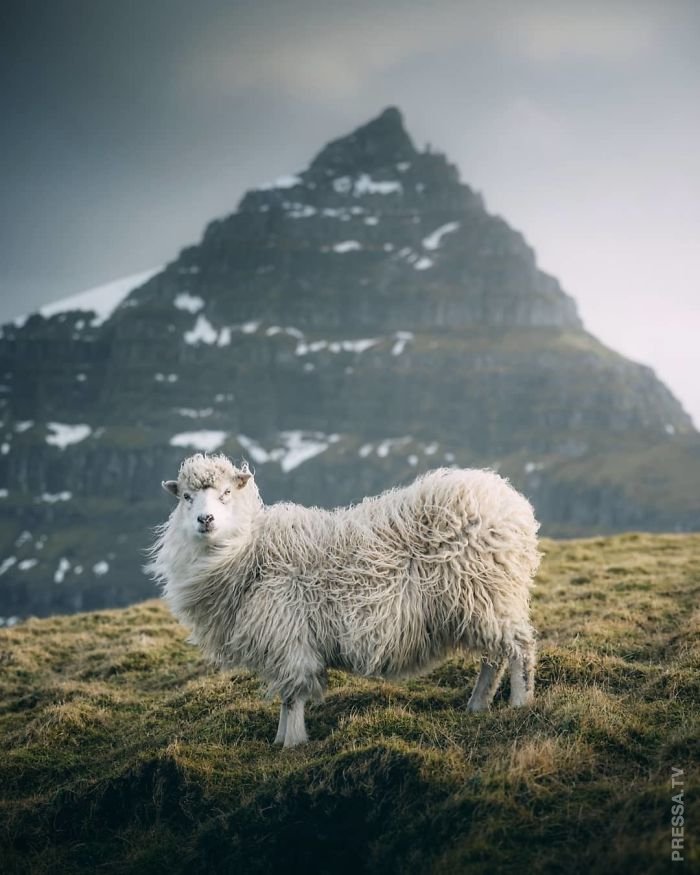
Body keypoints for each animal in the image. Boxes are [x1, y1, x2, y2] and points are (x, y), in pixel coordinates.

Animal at [146, 456, 540, 748]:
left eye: (226, 492)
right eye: (185, 497)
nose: (205, 519)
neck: (248, 550)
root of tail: (508, 498)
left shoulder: (290, 639)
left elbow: (292, 696)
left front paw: (291, 743)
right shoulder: (284, 643)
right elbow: (286, 696)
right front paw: (279, 739)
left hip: (487, 592)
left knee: (519, 648)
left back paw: (520, 702)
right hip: (481, 603)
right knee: (493, 657)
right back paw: (477, 705)